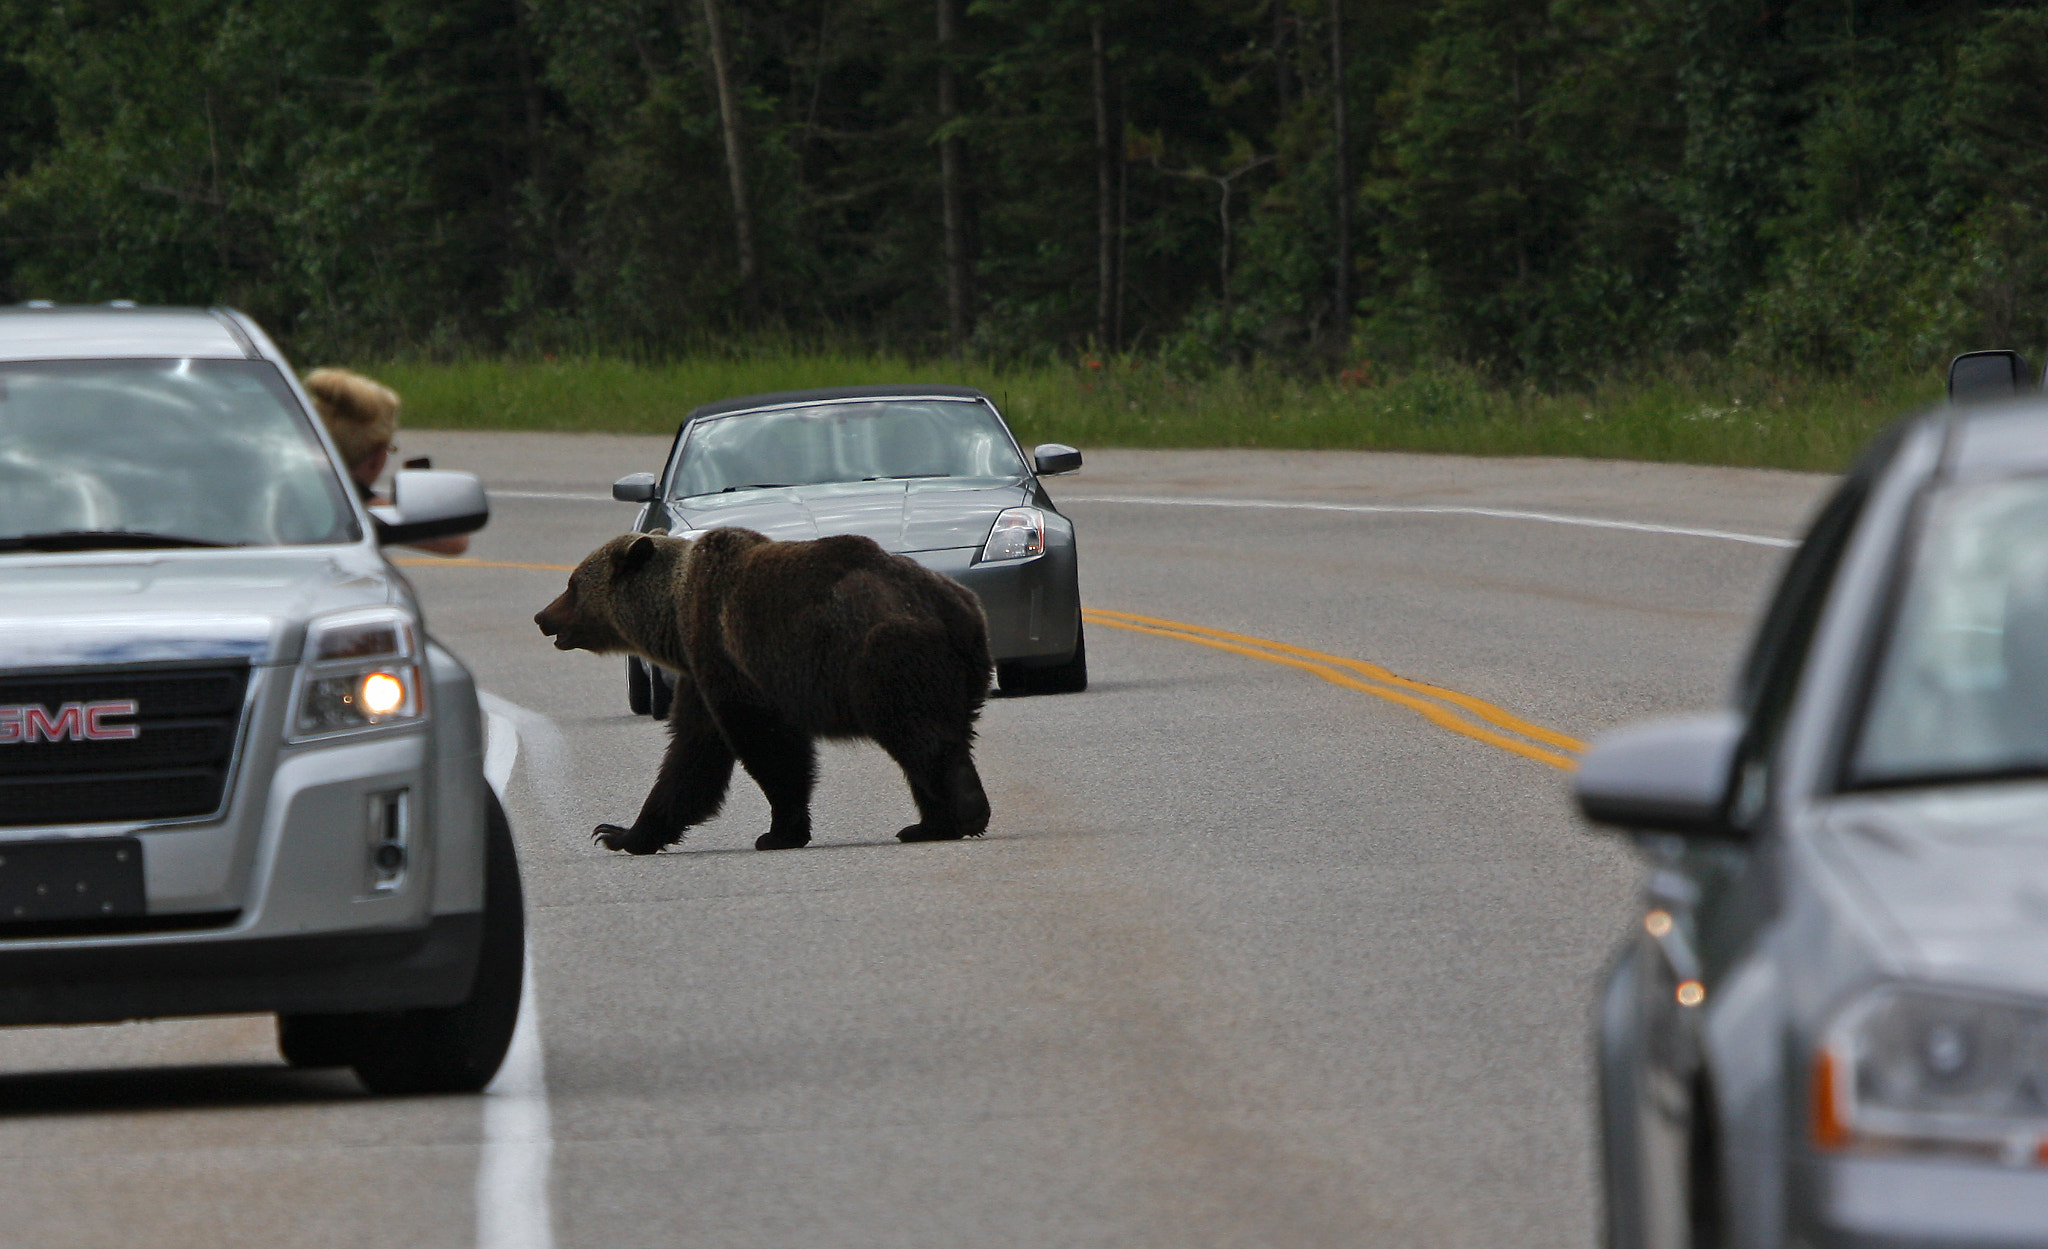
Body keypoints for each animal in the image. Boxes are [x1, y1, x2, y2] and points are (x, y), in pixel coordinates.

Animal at [534, 527, 993, 853]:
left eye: (573, 585)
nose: (542, 617)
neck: (676, 619)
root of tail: (955, 608)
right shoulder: (701, 676)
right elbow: (692, 753)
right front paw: (622, 832)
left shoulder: (729, 658)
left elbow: (765, 746)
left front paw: (779, 831)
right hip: (958, 669)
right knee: (935, 738)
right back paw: (927, 824)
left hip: (883, 658)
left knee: (921, 737)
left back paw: (966, 813)